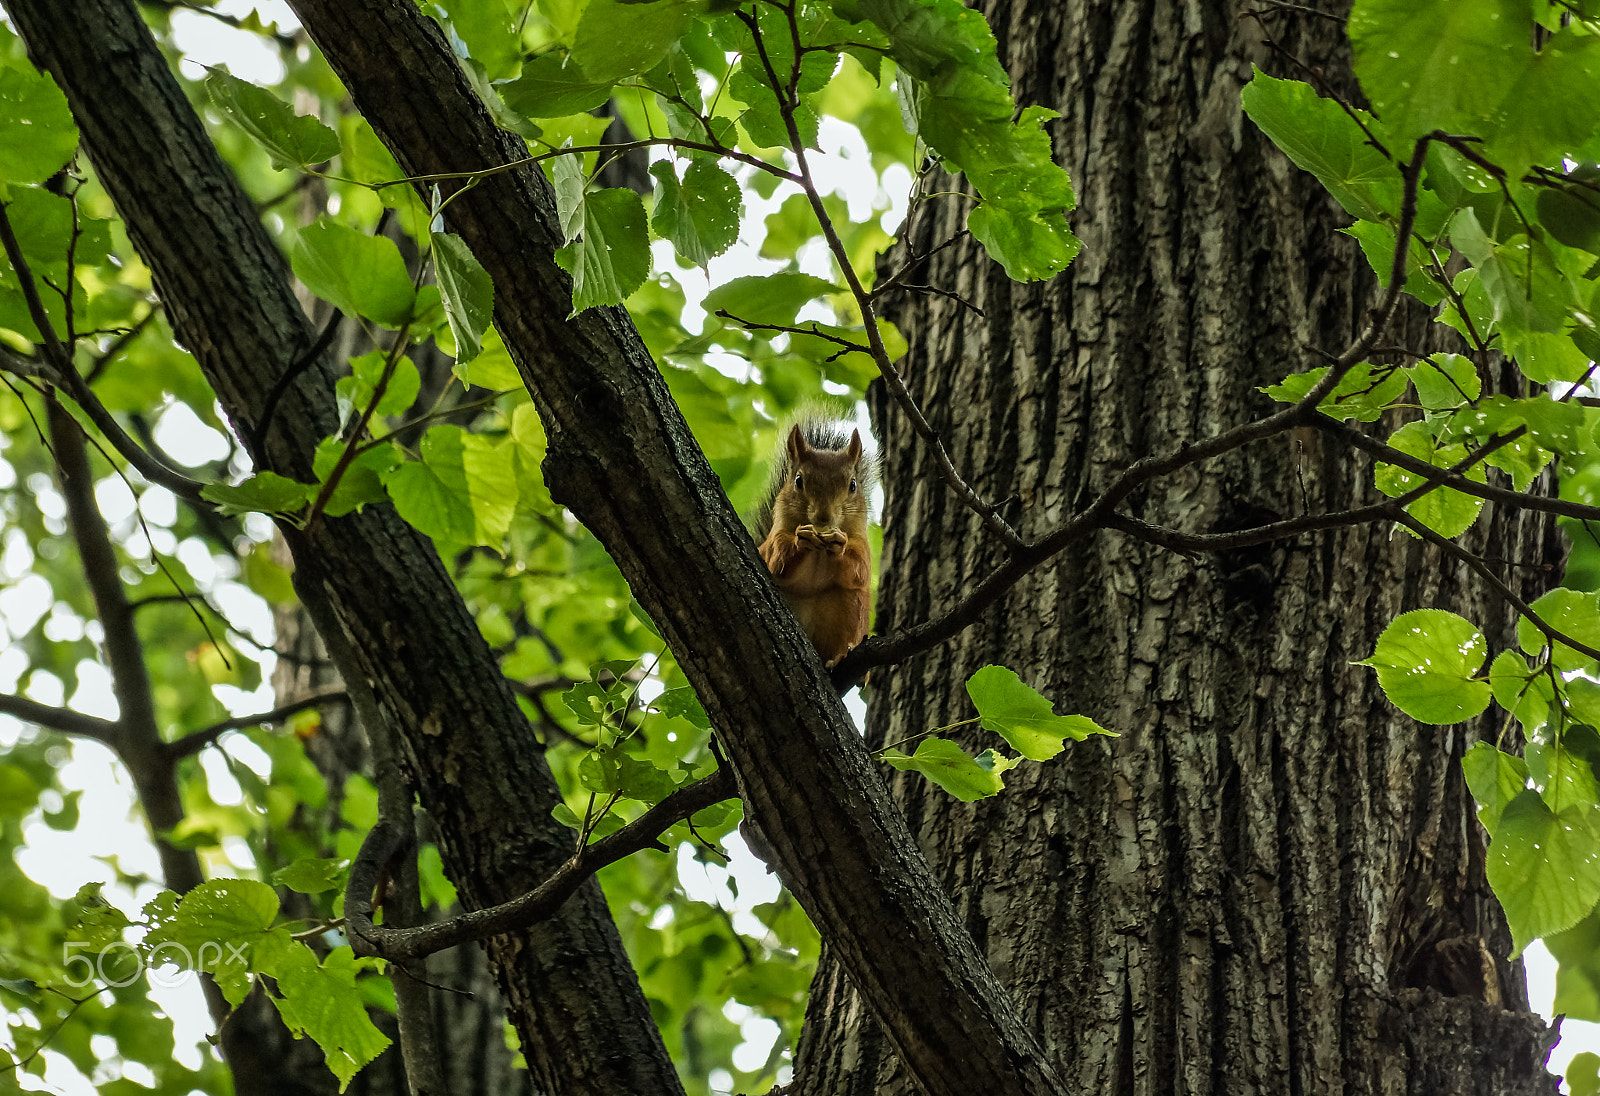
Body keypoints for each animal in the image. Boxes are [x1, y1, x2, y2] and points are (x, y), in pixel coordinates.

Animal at [752, 422, 876, 665]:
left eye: (853, 485)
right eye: (798, 481)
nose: (823, 517)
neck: (819, 552)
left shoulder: (862, 546)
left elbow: (860, 570)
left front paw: (839, 545)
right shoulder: (775, 539)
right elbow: (777, 561)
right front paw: (802, 540)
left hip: (852, 608)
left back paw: (839, 657)